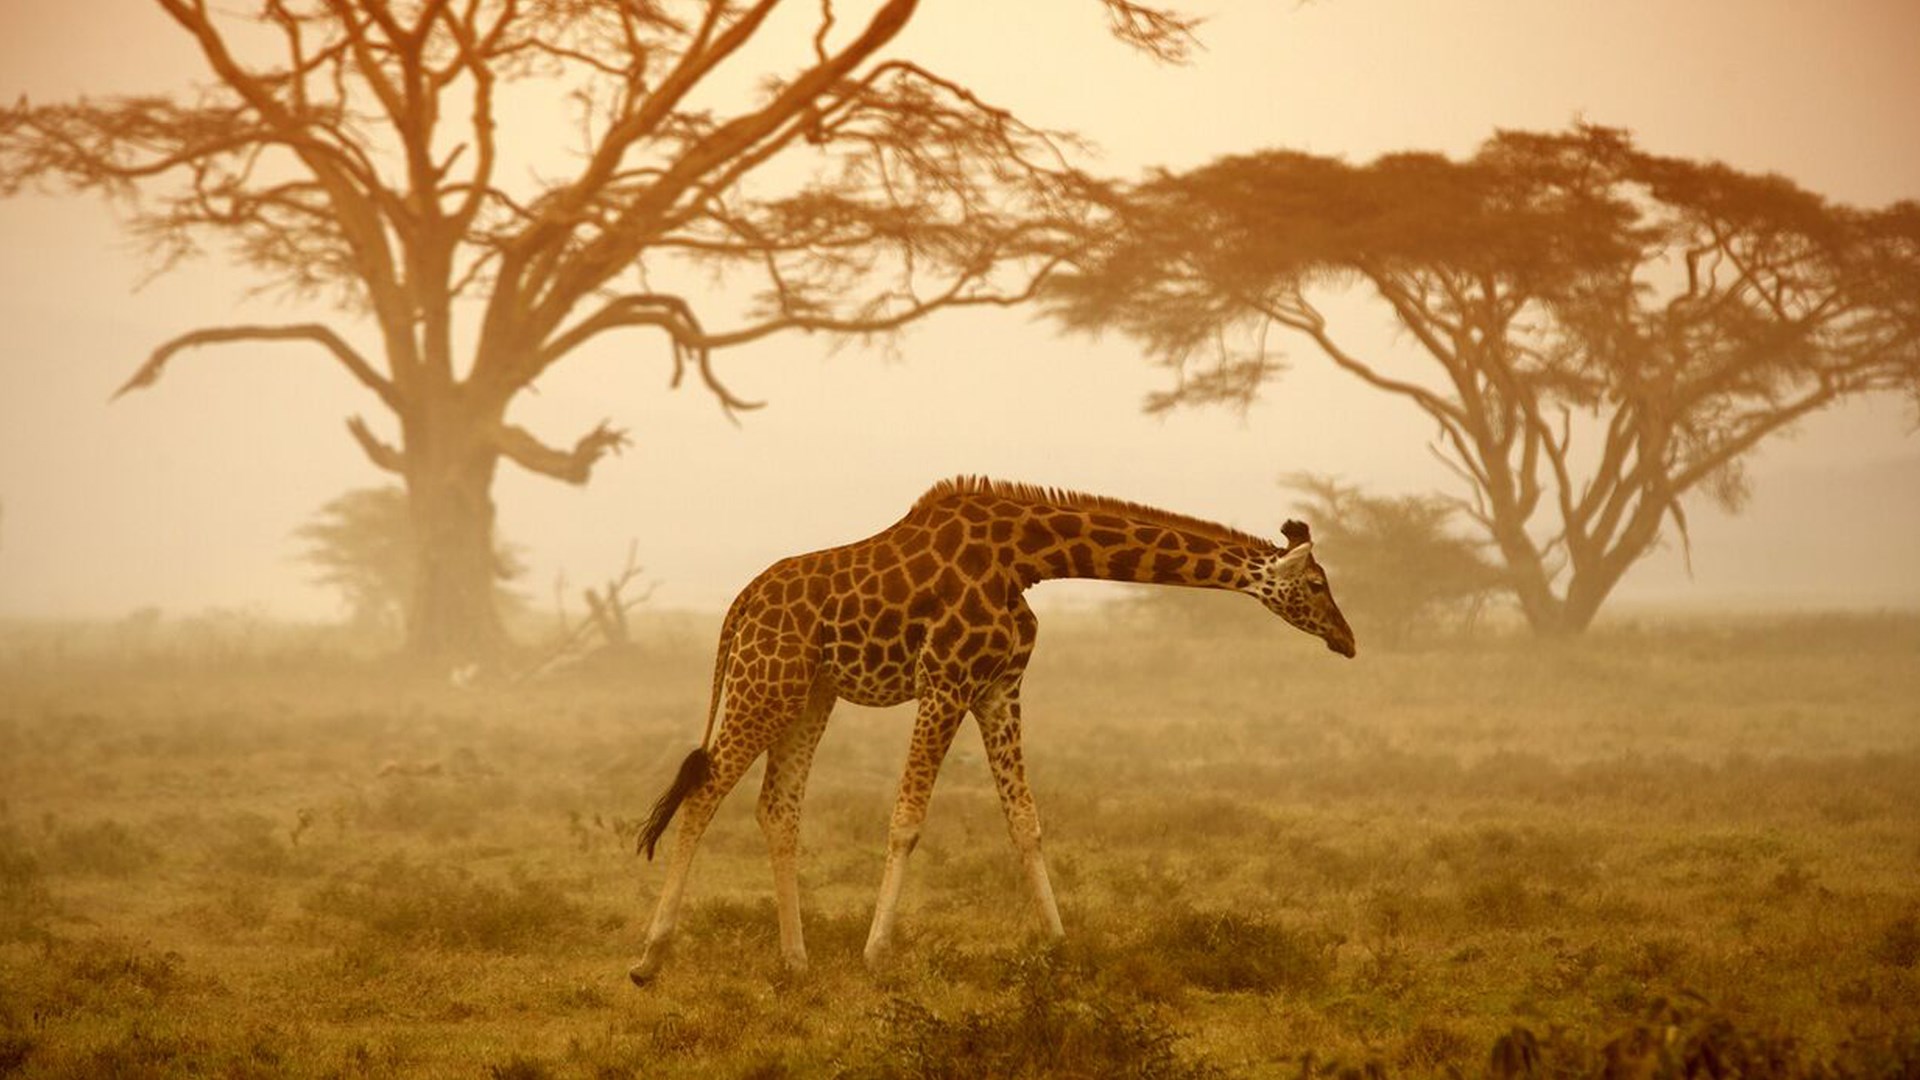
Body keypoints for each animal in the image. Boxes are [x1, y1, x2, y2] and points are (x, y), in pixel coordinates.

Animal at [628, 476, 1355, 984]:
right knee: (705, 790)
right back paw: (649, 959)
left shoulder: (1000, 687)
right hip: (766, 685)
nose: (1348, 641)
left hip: (809, 695)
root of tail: (738, 606)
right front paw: (876, 953)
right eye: (1318, 583)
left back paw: (796, 962)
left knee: (777, 808)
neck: (1026, 558)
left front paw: (1060, 946)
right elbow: (907, 818)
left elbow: (1024, 821)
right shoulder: (947, 680)